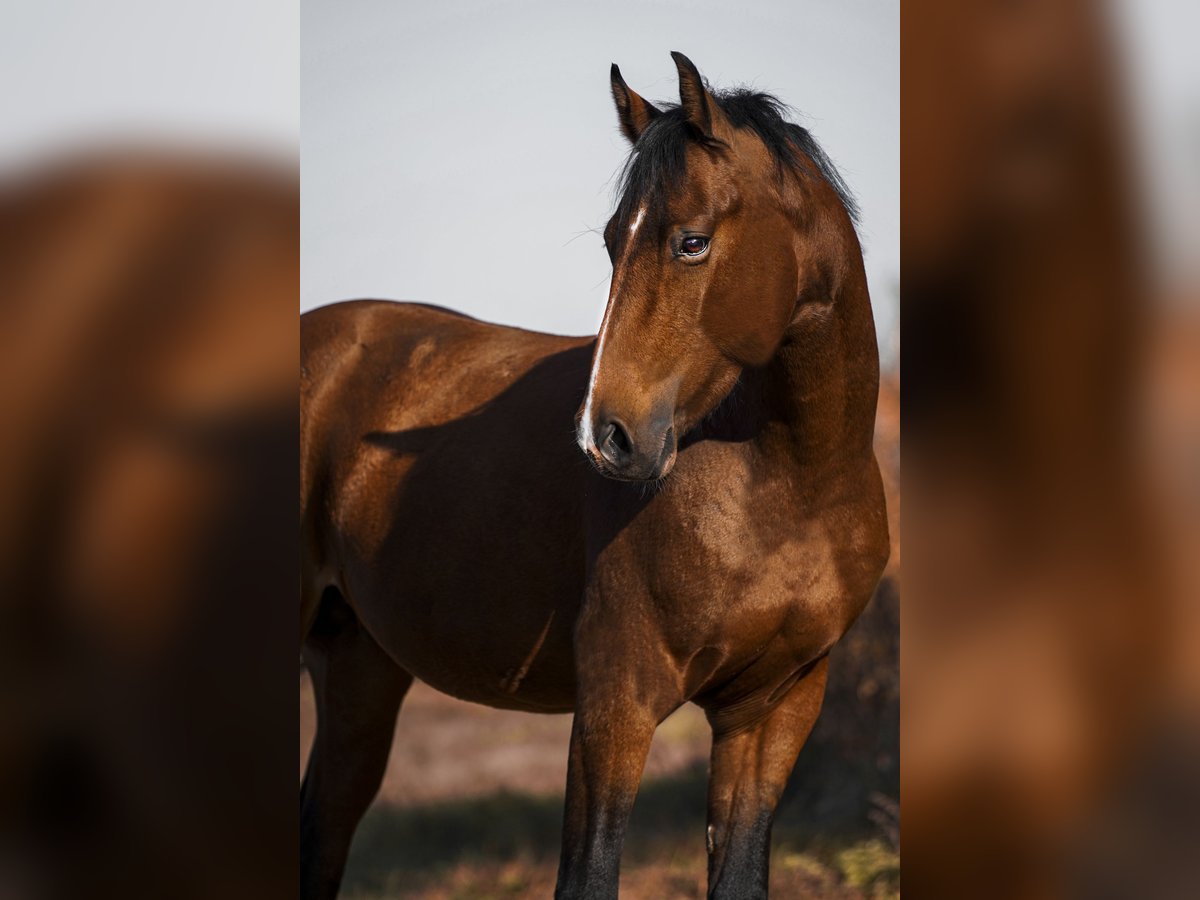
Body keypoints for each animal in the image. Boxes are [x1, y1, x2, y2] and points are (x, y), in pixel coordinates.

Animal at [300, 54, 888, 900]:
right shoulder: (618, 703)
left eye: (691, 241)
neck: (789, 488)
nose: (605, 437)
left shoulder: (773, 708)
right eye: (613, 241)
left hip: (357, 666)